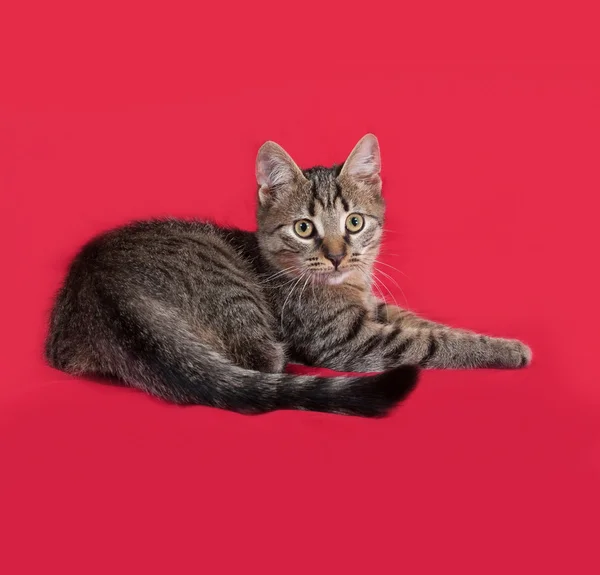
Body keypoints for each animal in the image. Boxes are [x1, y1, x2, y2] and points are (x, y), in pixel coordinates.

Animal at [44, 135, 528, 416]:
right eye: (304, 228)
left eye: (355, 222)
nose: (337, 257)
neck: (348, 286)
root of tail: (105, 286)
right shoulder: (348, 339)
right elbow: (431, 342)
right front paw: (506, 351)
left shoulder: (378, 308)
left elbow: (430, 324)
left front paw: (491, 338)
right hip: (236, 293)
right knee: (263, 360)